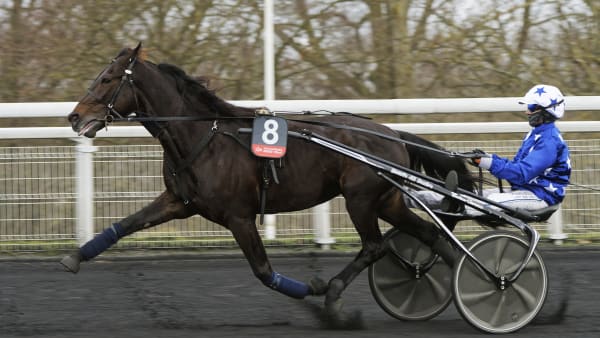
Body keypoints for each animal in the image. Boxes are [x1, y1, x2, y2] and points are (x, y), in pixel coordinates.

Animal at [62, 43, 474, 324]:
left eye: (108, 79)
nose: (74, 116)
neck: (203, 136)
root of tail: (392, 134)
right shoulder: (179, 201)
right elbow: (125, 224)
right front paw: (74, 257)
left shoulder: (238, 216)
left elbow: (262, 270)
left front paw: (312, 289)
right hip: (387, 200)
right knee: (431, 236)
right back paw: (466, 278)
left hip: (359, 199)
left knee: (375, 247)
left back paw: (334, 295)